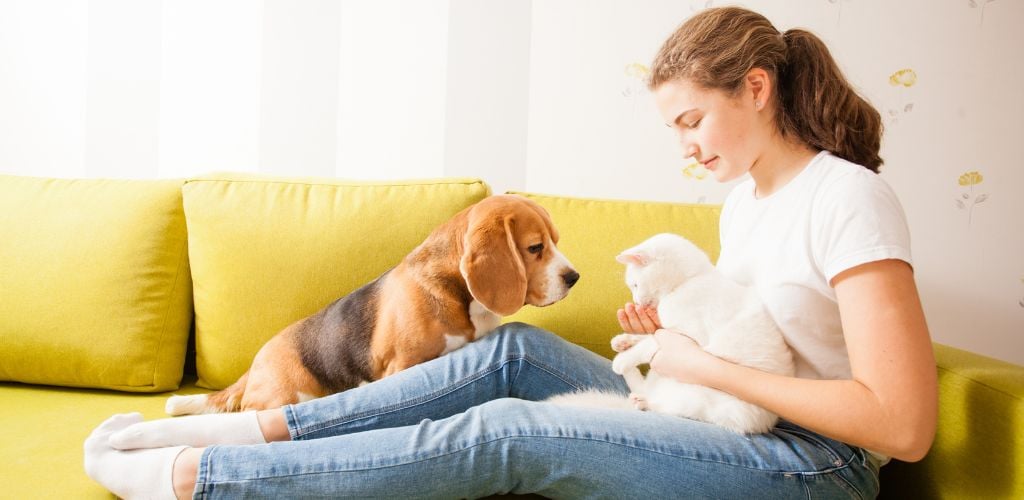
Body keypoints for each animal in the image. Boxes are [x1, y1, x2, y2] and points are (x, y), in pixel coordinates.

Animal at [165, 194, 577, 413]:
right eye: (535, 248)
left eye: (556, 241)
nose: (573, 277)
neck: (458, 293)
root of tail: (254, 365)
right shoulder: (401, 366)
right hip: (281, 397)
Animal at [548, 233, 794, 434]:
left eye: (635, 285)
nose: (636, 301)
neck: (687, 282)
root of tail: (766, 423)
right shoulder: (668, 327)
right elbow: (653, 334)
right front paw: (624, 341)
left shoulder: (689, 336)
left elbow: (653, 342)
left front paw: (625, 357)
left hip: (699, 399)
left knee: (666, 407)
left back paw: (638, 396)